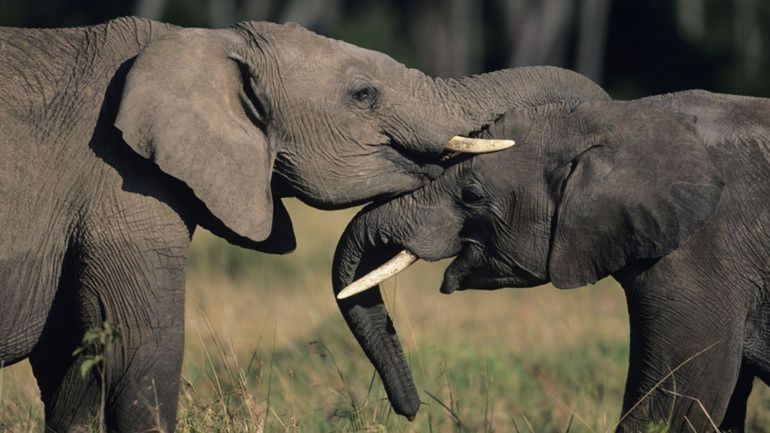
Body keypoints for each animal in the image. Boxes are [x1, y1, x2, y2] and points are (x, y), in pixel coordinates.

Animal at [0, 15, 612, 430]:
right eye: (363, 94)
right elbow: (140, 346)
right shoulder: (119, 181)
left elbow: (73, 364)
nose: (413, 411)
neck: (200, 41)